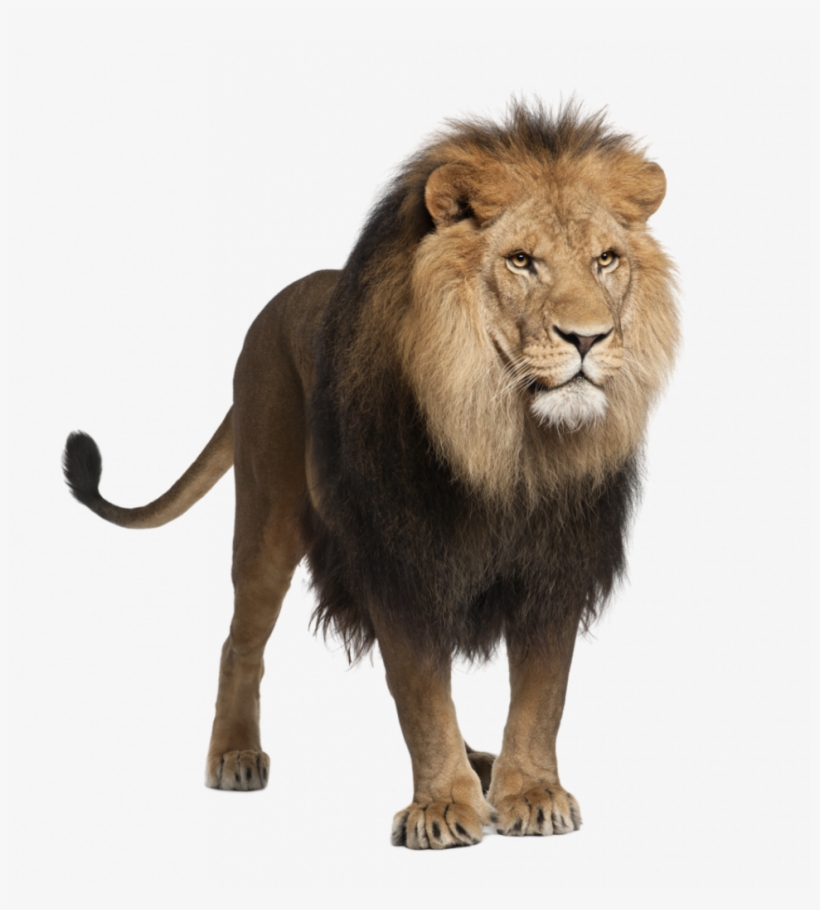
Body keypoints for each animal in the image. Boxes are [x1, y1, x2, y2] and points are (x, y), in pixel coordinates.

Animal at [63, 102, 678, 849]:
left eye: (605, 259)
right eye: (521, 261)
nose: (588, 338)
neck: (507, 443)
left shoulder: (555, 567)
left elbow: (541, 694)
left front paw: (530, 792)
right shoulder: (398, 560)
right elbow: (420, 694)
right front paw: (442, 807)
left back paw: (484, 765)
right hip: (267, 515)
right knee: (240, 640)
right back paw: (235, 754)